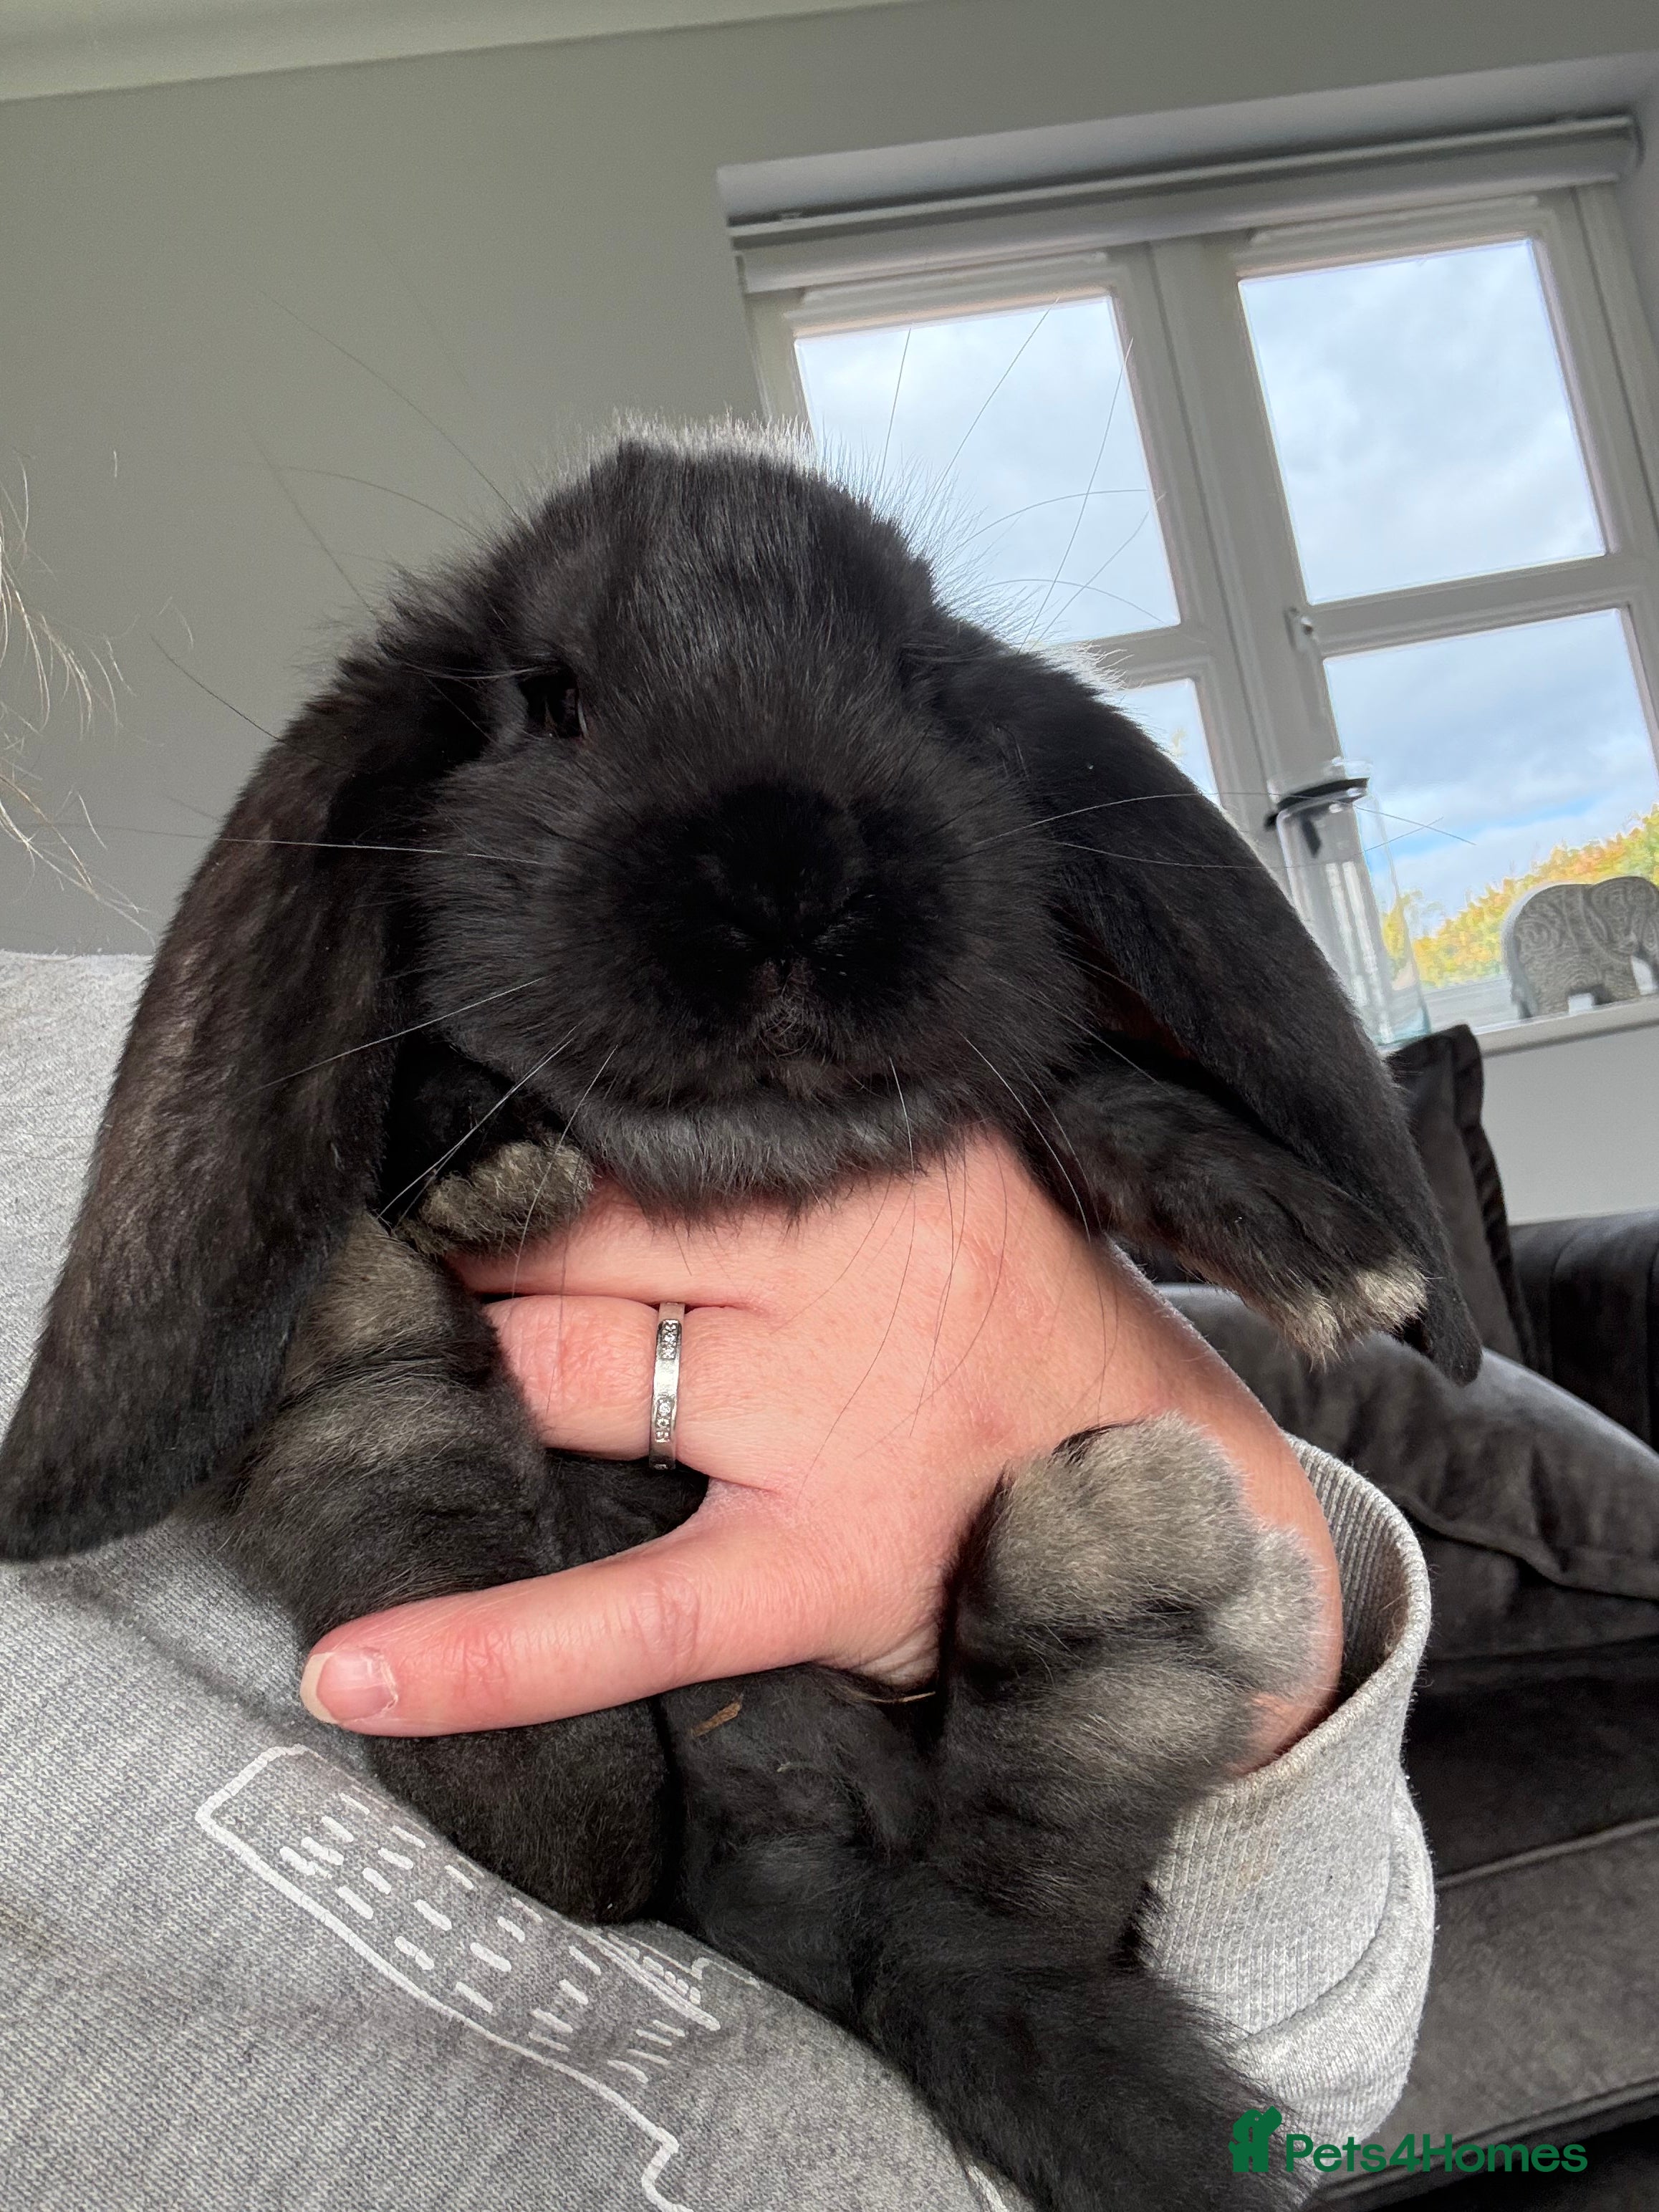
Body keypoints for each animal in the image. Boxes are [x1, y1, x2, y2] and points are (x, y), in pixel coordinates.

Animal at [0, 425, 1477, 2212]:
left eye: (924, 685)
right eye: (548, 699)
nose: (789, 878)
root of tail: (811, 1870)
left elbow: (1096, 1090)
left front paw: (1326, 1250)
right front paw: (485, 1162)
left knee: (989, 1904)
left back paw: (1099, 1627)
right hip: (602, 1782)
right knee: (580, 1814)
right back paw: (374, 1368)